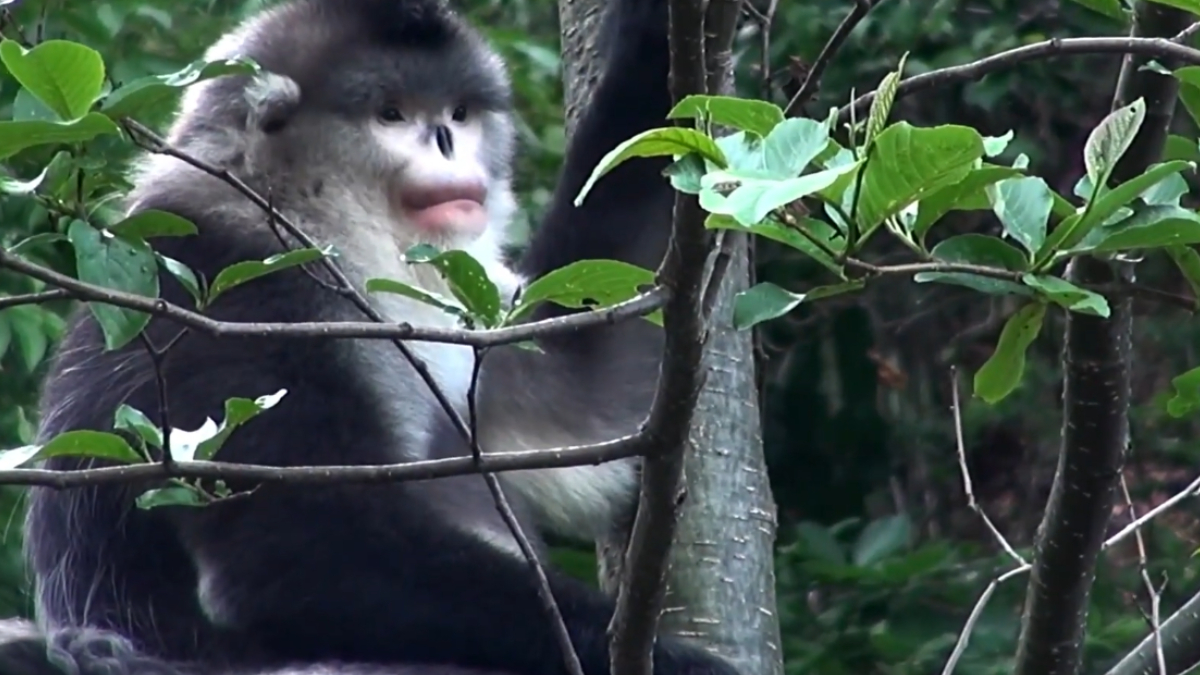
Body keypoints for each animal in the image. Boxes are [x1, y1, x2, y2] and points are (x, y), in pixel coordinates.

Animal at [8, 0, 742, 675]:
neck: (315, 228)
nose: (444, 140)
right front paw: (692, 665)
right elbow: (287, 556)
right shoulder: (216, 289)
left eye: (459, 112)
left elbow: (591, 390)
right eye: (391, 115)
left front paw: (660, 30)